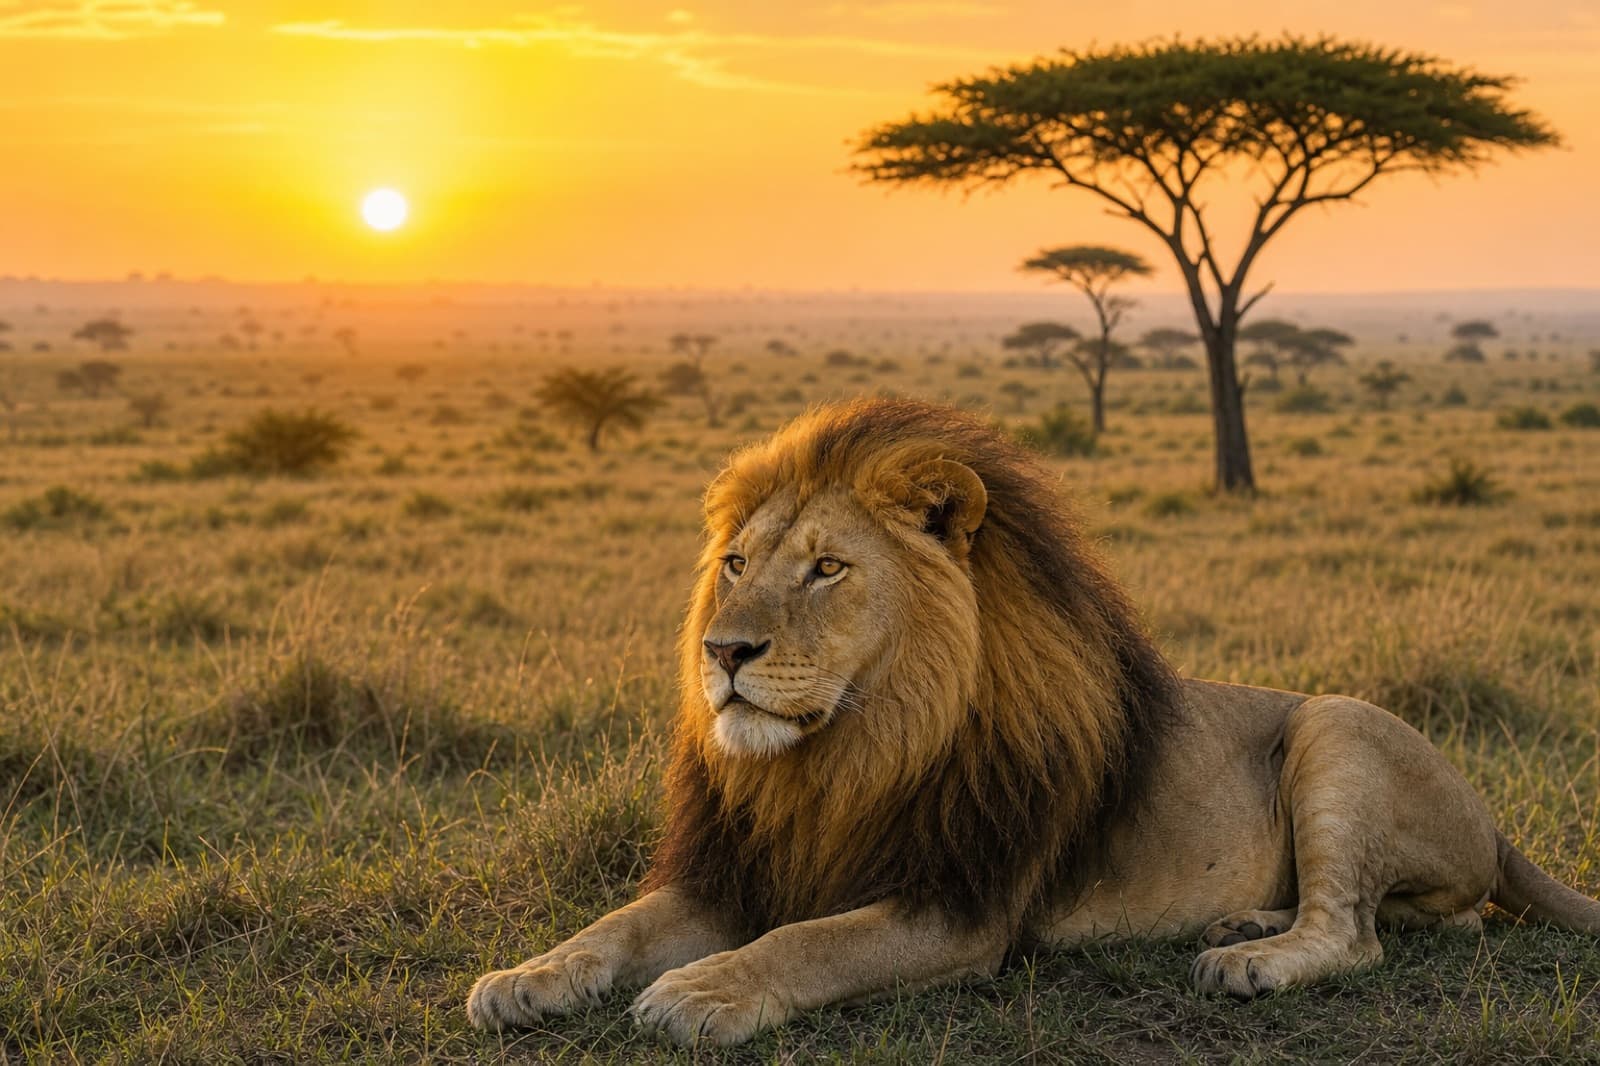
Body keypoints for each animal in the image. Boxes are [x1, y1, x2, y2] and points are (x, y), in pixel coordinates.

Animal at [468, 398, 1600, 1046]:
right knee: (1419, 917)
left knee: (1357, 933)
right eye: (737, 564)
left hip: (1337, 728)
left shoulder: (959, 908)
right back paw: (1243, 922)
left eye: (828, 568)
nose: (723, 651)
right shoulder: (736, 869)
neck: (841, 759)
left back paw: (1247, 959)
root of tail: (1496, 825)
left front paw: (701, 991)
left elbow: (811, 942)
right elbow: (615, 927)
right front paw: (525, 979)